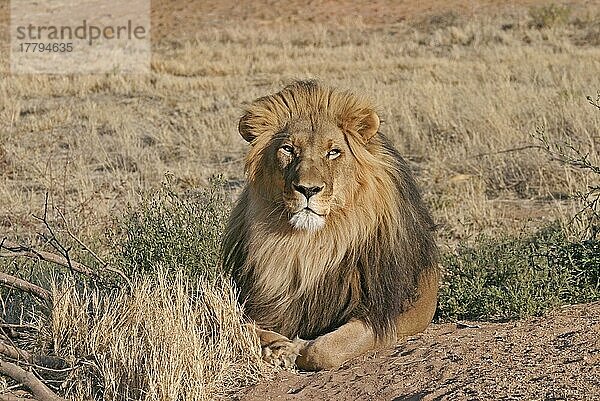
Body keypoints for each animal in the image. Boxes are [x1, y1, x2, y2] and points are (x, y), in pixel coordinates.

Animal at [223, 79, 438, 370]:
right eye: (288, 149)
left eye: (334, 152)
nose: (308, 189)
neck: (312, 245)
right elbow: (239, 324)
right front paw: (277, 347)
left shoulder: (388, 312)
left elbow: (331, 348)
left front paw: (300, 347)